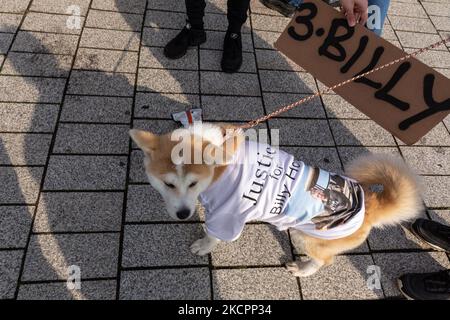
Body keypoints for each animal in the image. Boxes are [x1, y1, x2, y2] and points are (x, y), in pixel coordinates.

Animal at [129, 124, 422, 276]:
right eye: (168, 184)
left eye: (192, 183)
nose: (183, 214)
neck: (219, 168)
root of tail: (369, 205)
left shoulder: (227, 216)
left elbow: (213, 236)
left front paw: (204, 245)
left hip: (310, 238)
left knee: (324, 261)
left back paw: (302, 270)